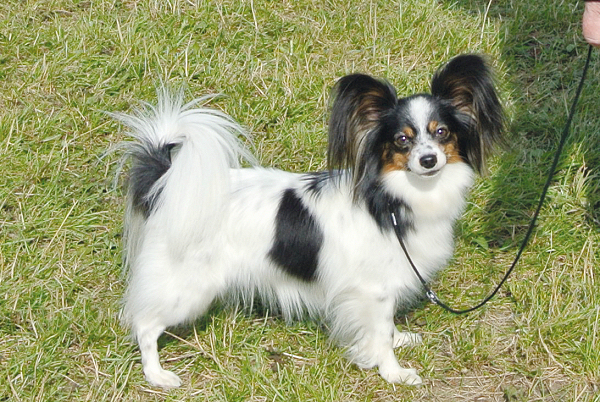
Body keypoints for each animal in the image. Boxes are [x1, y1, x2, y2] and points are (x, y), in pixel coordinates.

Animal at [115, 54, 503, 388]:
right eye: (402, 140)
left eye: (442, 133)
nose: (428, 160)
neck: (393, 198)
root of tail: (167, 182)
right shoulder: (374, 290)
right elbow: (380, 332)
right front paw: (393, 372)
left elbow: (384, 328)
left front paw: (396, 341)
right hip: (186, 288)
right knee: (144, 324)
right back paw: (156, 375)